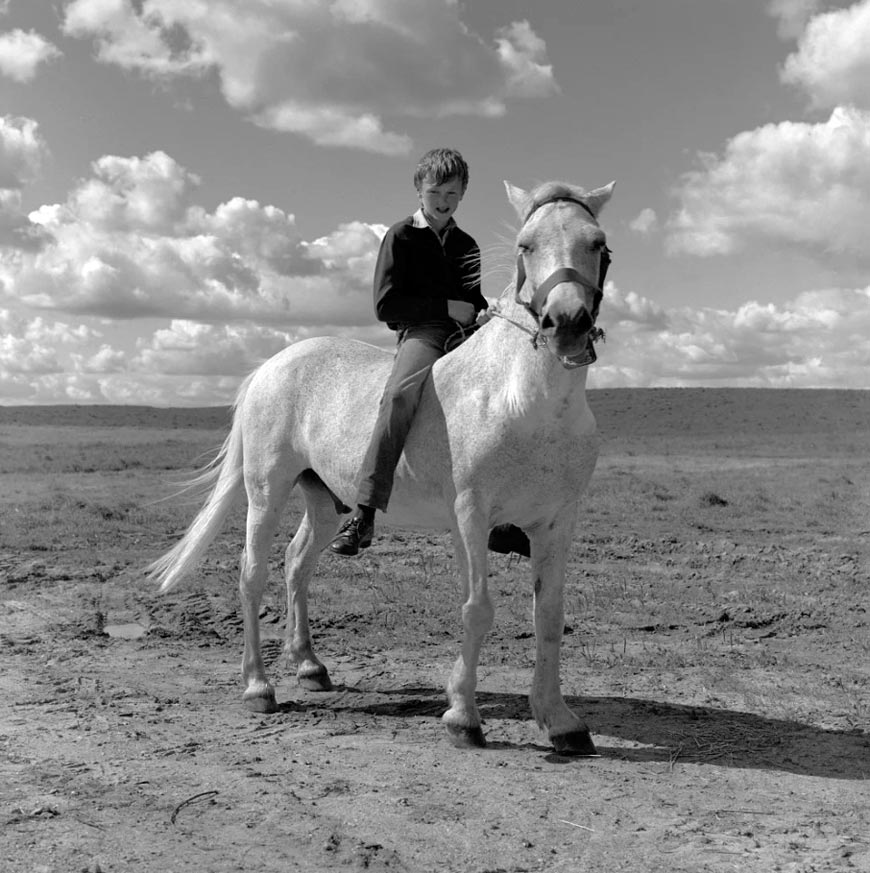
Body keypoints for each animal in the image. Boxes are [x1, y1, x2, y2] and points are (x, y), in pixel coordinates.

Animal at [148, 175, 612, 748]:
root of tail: (270, 367)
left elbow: (549, 615)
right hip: (266, 489)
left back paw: (310, 666)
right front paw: (463, 716)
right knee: (252, 571)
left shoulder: (556, 523)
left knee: (297, 562)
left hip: (325, 501)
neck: (527, 403)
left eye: (597, 243)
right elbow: (477, 609)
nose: (566, 322)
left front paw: (560, 721)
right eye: (527, 244)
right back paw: (258, 686)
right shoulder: (470, 517)